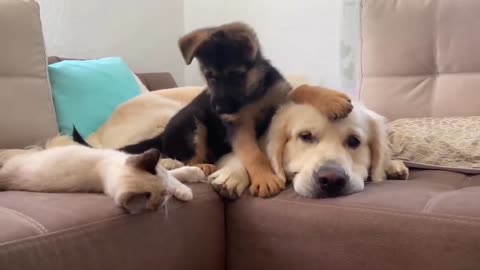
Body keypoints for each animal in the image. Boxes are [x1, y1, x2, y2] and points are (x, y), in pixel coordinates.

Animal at [108, 22, 352, 197]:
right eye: (210, 77)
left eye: (236, 75)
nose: (218, 109)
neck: (253, 95)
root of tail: (161, 135)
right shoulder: (237, 125)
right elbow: (252, 153)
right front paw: (264, 179)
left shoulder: (279, 96)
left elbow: (301, 88)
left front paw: (331, 100)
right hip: (193, 123)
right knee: (186, 157)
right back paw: (202, 165)